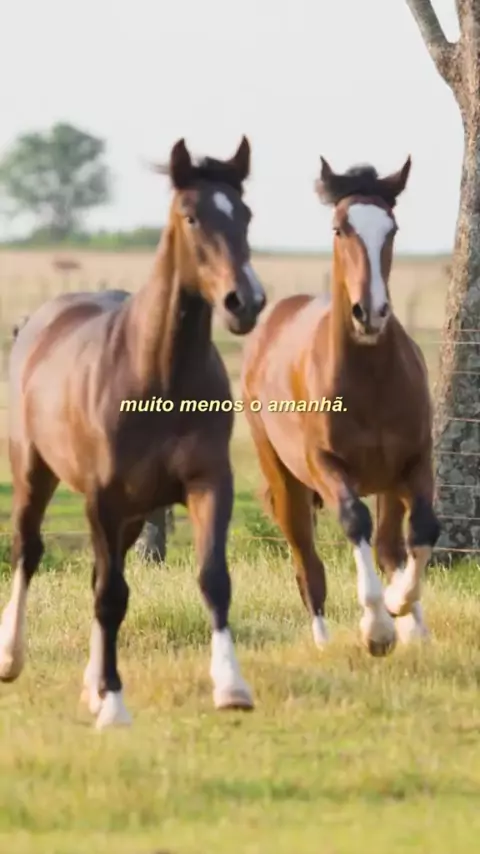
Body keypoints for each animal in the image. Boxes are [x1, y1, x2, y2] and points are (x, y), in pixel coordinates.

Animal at [0, 136, 266, 728]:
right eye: (191, 216)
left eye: (245, 214)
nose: (246, 302)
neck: (159, 376)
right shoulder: (102, 497)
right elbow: (110, 596)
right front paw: (115, 706)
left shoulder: (208, 484)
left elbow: (213, 579)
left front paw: (231, 687)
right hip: (35, 473)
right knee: (29, 550)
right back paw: (10, 657)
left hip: (132, 512)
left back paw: (91, 685)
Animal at [241, 156, 440, 656]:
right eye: (339, 228)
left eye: (391, 228)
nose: (369, 313)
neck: (370, 379)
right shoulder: (327, 467)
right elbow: (354, 521)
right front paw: (377, 629)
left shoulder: (413, 463)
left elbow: (423, 531)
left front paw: (400, 606)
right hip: (286, 482)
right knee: (306, 563)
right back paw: (324, 640)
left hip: (386, 482)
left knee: (389, 546)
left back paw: (414, 626)